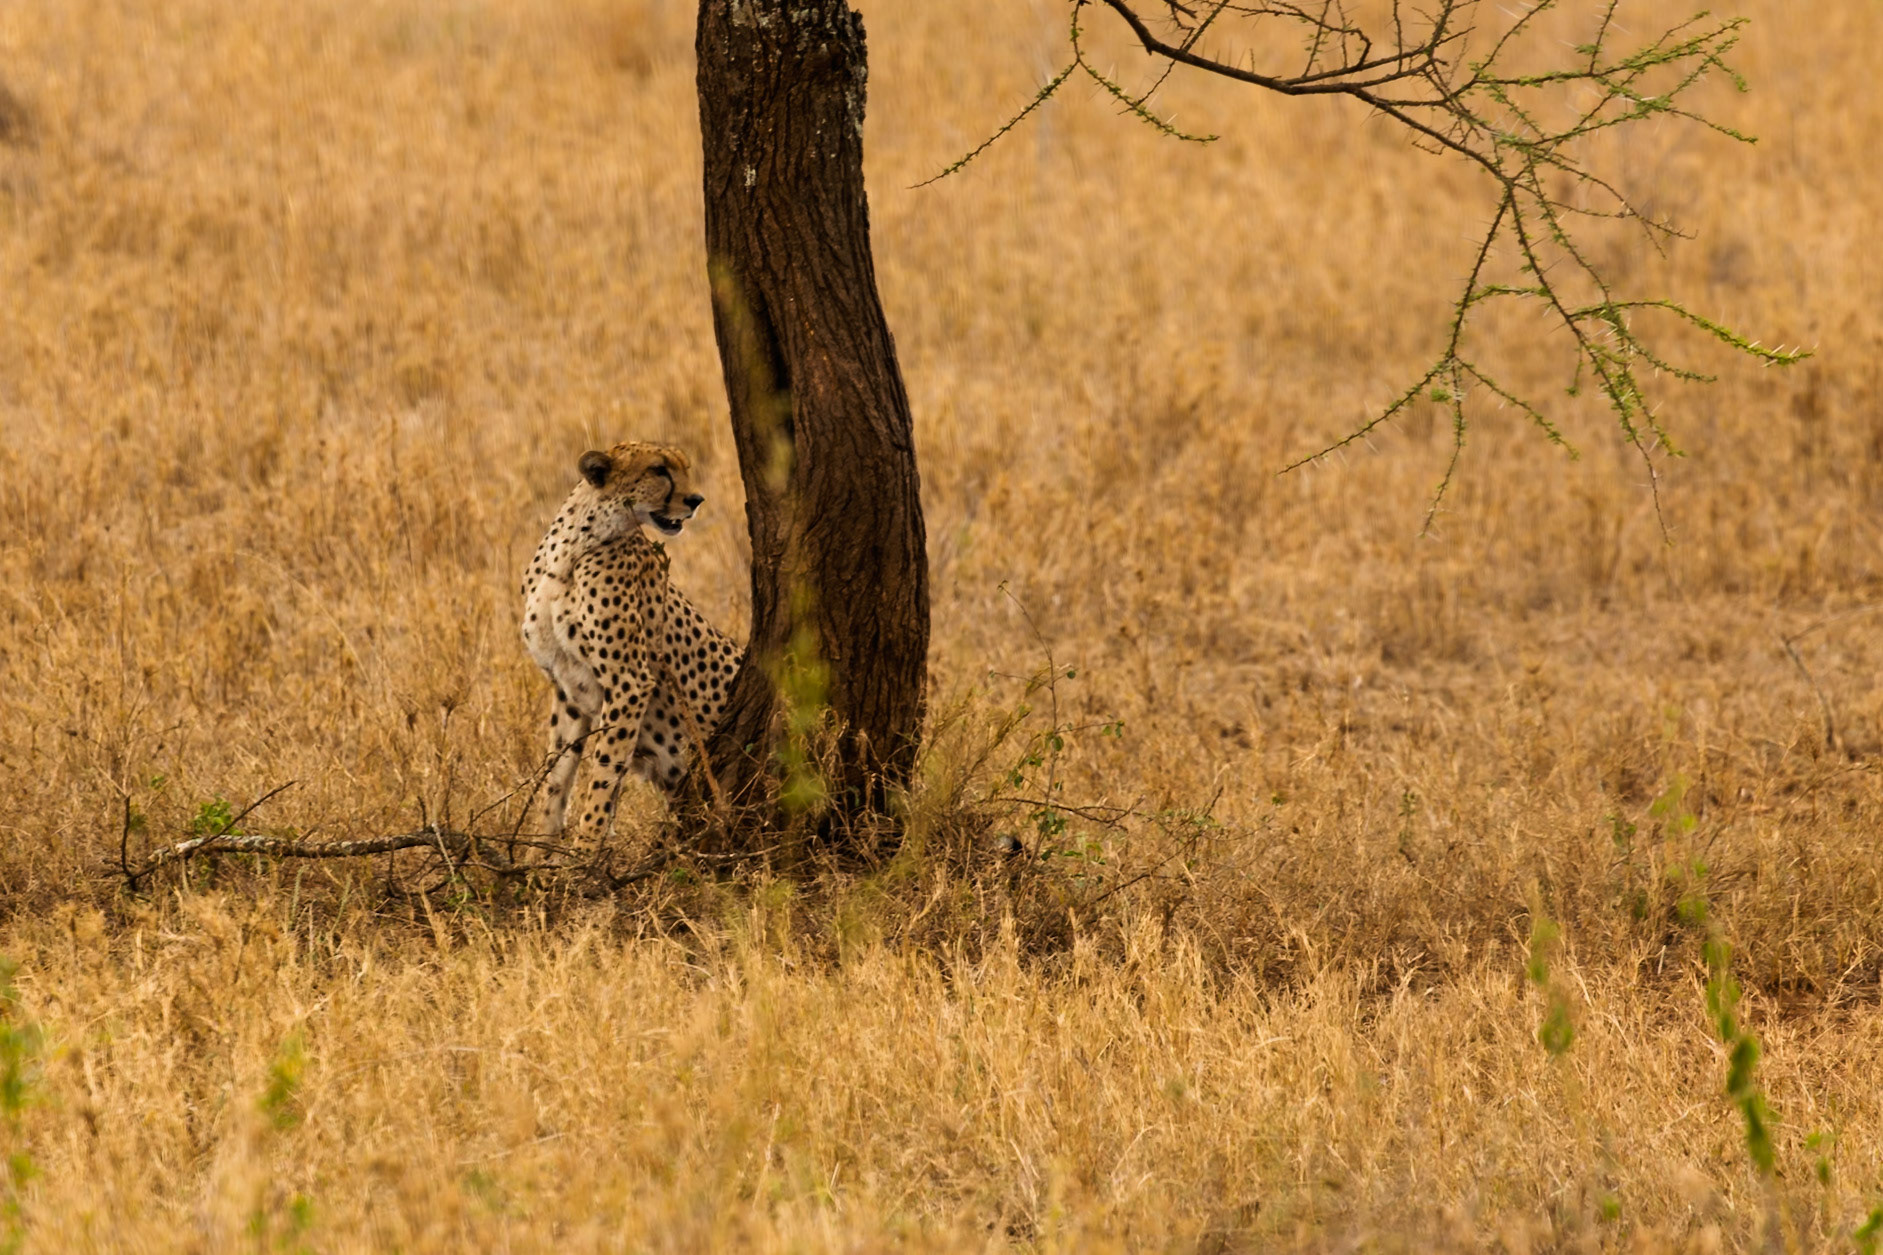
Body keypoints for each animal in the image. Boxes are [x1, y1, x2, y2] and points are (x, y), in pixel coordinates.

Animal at [520, 441, 743, 836]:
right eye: (659, 470)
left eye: (685, 468)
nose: (696, 499)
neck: (572, 549)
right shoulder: (568, 689)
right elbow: (556, 780)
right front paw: (540, 848)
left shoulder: (629, 682)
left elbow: (602, 781)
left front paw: (585, 846)